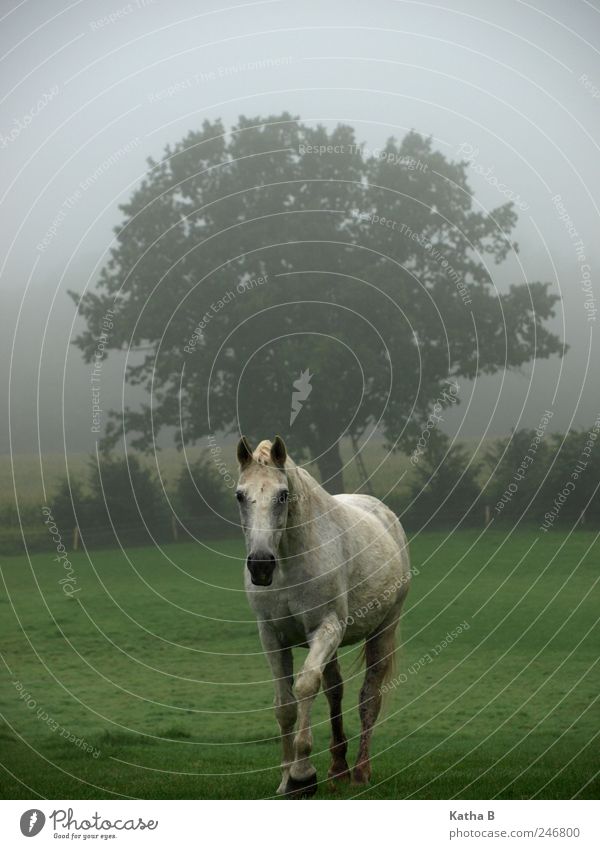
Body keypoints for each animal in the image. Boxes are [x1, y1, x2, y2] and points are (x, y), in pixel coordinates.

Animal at [237, 438, 410, 796]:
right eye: (239, 495)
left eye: (283, 495)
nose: (260, 565)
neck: (290, 560)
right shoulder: (271, 636)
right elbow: (284, 703)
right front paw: (285, 780)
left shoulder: (325, 628)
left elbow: (305, 687)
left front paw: (302, 776)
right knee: (335, 692)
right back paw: (337, 768)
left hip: (383, 630)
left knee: (368, 697)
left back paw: (360, 772)